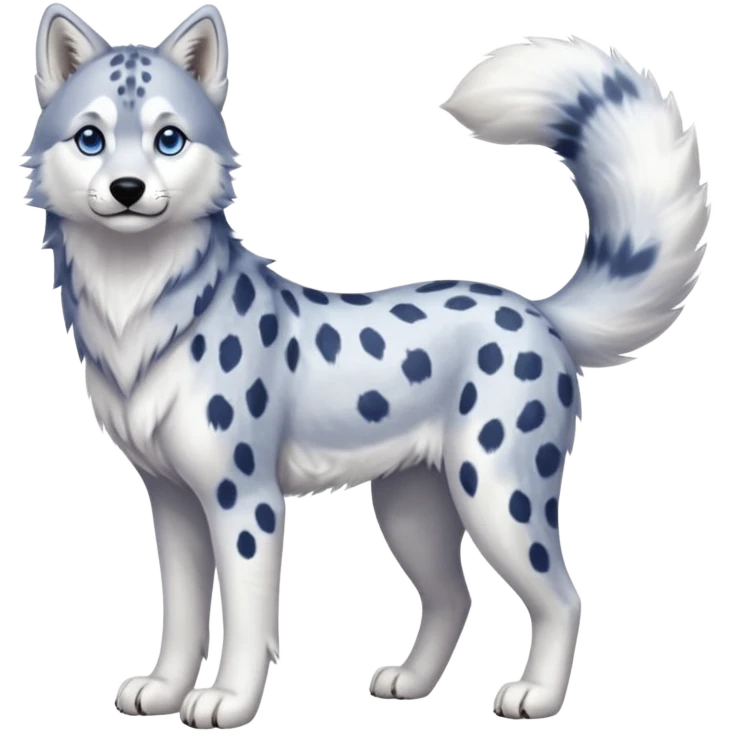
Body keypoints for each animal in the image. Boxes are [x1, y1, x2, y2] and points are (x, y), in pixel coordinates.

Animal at [25, 4, 709, 726]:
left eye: (170, 139)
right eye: (91, 138)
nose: (127, 189)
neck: (139, 306)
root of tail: (537, 311)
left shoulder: (245, 500)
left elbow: (246, 614)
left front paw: (229, 699)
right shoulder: (172, 498)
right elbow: (183, 612)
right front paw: (162, 689)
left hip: (497, 495)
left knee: (562, 594)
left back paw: (538, 695)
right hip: (411, 506)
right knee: (454, 596)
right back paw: (410, 682)